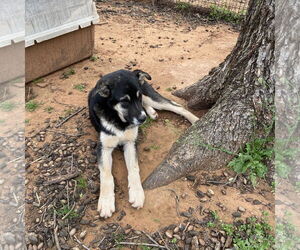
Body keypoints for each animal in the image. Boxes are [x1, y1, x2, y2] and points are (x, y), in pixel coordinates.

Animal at [88, 69, 198, 218]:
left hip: (150, 96)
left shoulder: (130, 143)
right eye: (124, 101)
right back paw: (151, 112)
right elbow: (106, 175)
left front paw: (136, 193)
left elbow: (134, 168)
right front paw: (106, 202)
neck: (119, 119)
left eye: (138, 96)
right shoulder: (104, 147)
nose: (143, 119)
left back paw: (195, 120)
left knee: (177, 106)